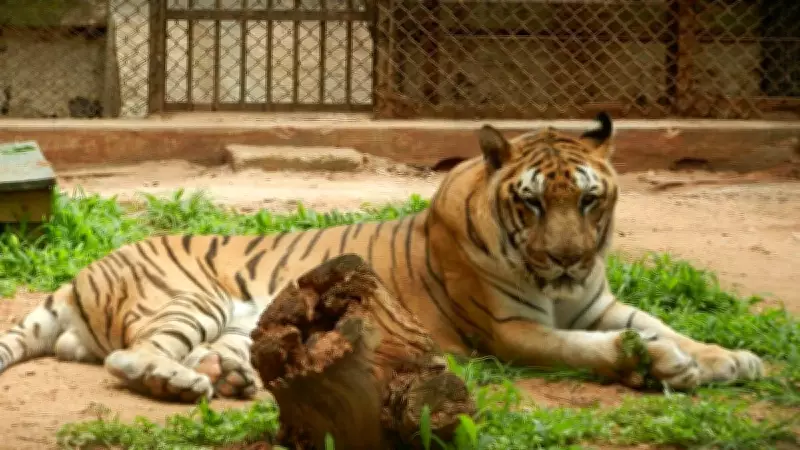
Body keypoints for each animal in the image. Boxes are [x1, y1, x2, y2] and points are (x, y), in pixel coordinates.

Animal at [0, 113, 764, 402]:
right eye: (530, 204)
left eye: (587, 200)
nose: (569, 260)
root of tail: (78, 276)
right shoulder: (510, 332)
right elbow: (588, 348)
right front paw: (661, 364)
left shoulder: (600, 301)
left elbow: (664, 323)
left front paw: (732, 358)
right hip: (190, 298)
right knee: (131, 358)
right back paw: (182, 384)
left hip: (242, 325)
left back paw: (231, 378)